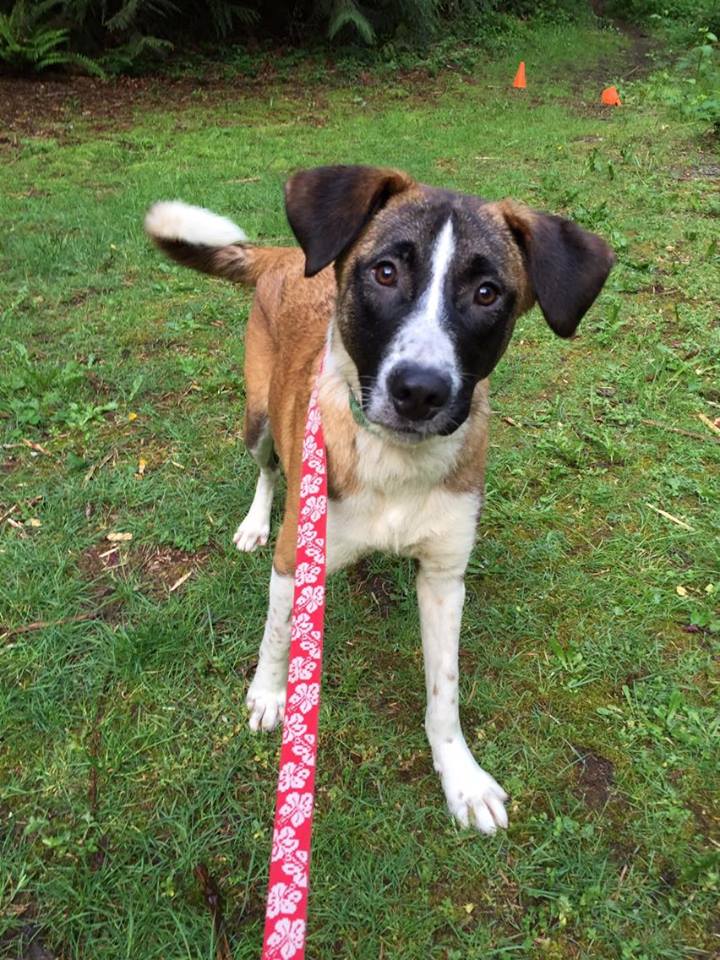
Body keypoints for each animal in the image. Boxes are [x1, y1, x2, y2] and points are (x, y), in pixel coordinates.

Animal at [145, 167, 612, 832]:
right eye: (386, 271)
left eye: (488, 293)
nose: (419, 390)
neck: (397, 460)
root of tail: (287, 256)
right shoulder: (298, 557)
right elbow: (279, 634)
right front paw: (269, 693)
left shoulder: (444, 578)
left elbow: (445, 691)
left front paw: (460, 776)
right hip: (259, 416)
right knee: (266, 470)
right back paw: (255, 522)